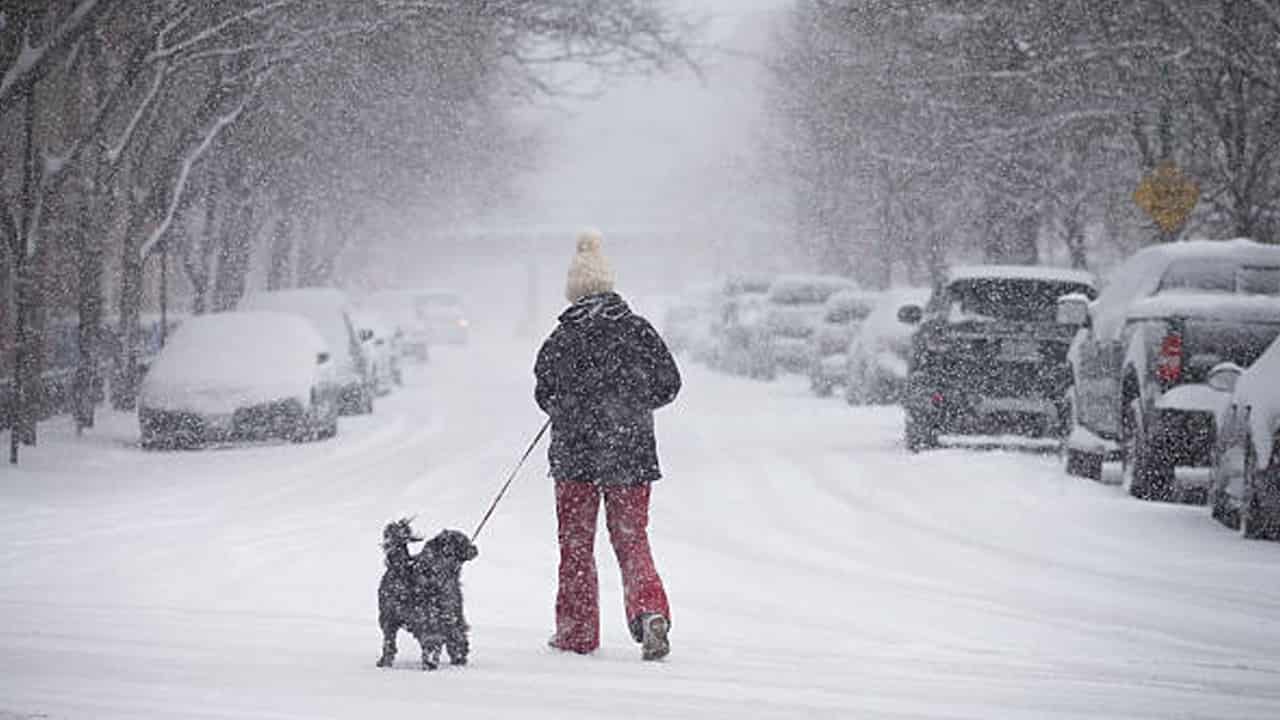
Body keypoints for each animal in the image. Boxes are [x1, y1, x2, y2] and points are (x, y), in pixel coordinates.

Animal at [381, 515, 481, 666]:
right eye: (463, 541)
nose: (475, 548)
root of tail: (403, 569)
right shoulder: (453, 612)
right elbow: (457, 636)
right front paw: (459, 657)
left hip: (389, 615)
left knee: (389, 641)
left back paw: (385, 662)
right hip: (430, 615)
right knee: (432, 640)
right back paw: (431, 663)